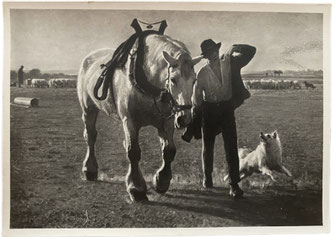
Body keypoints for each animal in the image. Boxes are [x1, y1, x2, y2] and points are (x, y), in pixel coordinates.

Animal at [77, 33, 201, 202]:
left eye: (194, 80)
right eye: (173, 79)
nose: (185, 118)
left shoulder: (166, 122)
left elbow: (169, 150)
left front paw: (161, 181)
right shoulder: (129, 121)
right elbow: (133, 151)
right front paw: (136, 188)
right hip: (89, 110)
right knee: (90, 136)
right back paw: (89, 169)